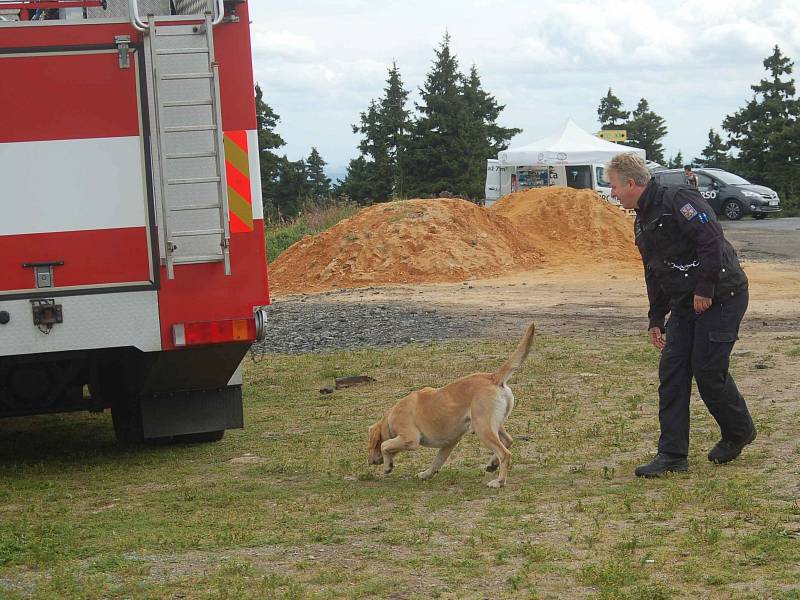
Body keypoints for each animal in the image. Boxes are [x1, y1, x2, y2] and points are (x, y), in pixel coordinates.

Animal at [370, 324, 536, 488]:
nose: (370, 461)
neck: (390, 418)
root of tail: (493, 377)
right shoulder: (449, 443)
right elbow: (437, 462)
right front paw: (426, 474)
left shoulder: (410, 439)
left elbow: (385, 445)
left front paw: (388, 466)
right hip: (493, 425)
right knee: (508, 441)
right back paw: (493, 464)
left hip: (482, 428)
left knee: (505, 453)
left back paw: (499, 481)